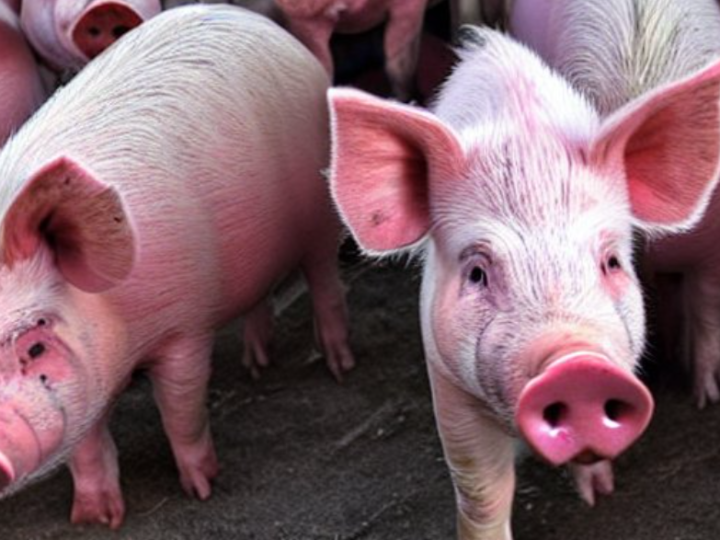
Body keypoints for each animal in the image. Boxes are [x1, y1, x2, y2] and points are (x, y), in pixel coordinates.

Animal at [328, 25, 720, 539]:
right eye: (477, 272)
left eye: (610, 262)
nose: (576, 366)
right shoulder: (447, 384)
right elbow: (482, 493)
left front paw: (598, 495)